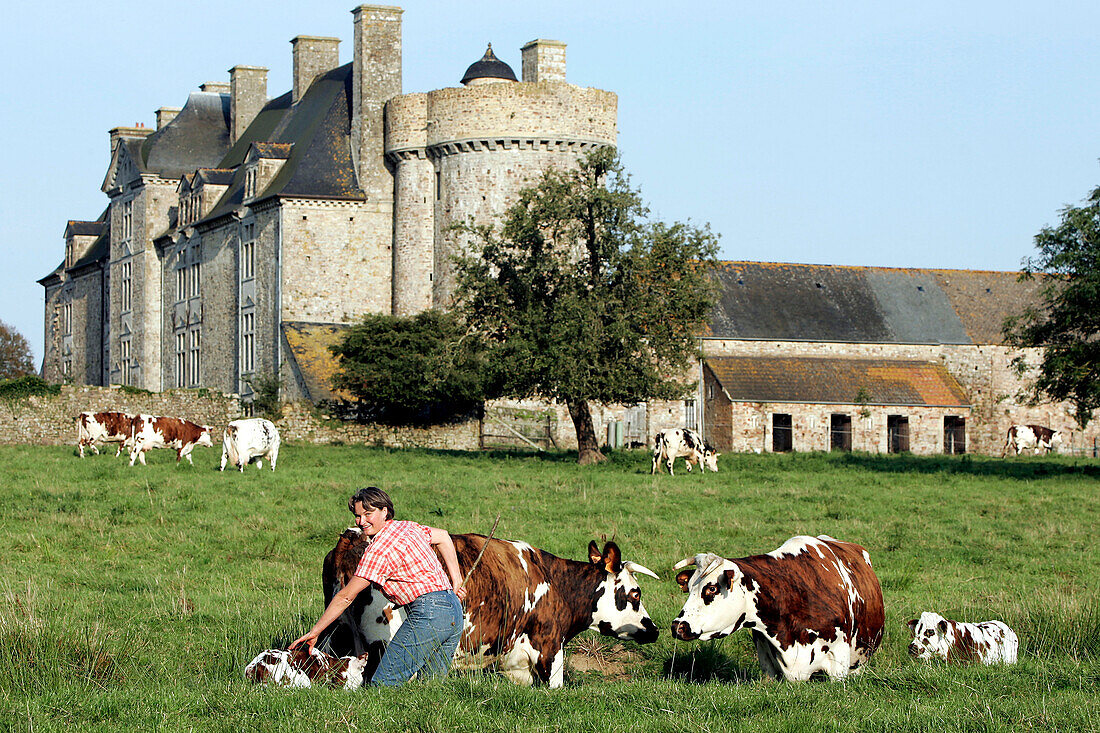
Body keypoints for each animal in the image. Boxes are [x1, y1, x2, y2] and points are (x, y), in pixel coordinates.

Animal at [321, 526, 660, 686]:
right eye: (635, 593)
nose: (654, 629)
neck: (555, 582)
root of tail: (354, 537)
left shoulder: (515, 666)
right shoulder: (549, 650)